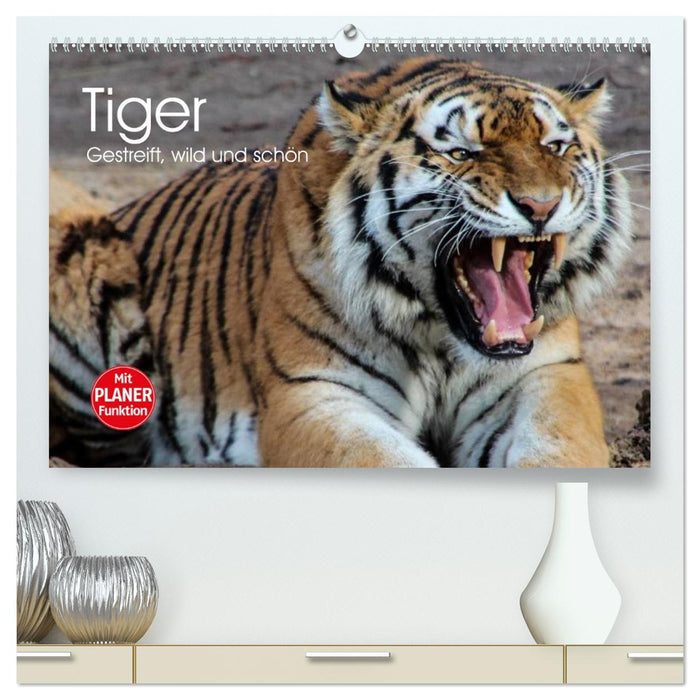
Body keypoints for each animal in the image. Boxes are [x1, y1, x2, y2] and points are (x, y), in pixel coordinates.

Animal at [49, 56, 633, 468]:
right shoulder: (314, 392)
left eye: (555, 147)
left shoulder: (546, 374)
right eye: (460, 154)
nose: (540, 206)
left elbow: (559, 447)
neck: (441, 337)